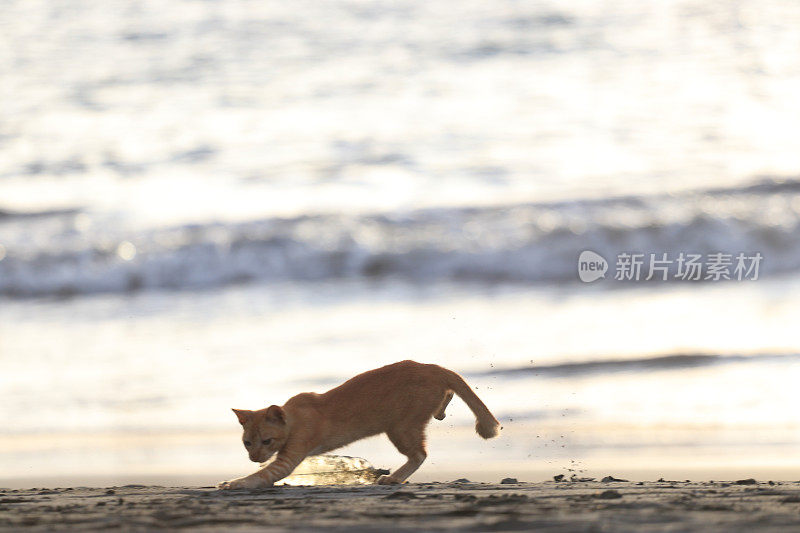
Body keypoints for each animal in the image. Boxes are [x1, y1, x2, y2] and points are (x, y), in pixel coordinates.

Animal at [216, 360, 496, 488]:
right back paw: (441, 411)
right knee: (446, 397)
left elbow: (264, 474)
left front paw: (235, 482)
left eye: (267, 441)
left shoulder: (289, 456)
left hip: (401, 427)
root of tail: (431, 367)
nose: (254, 457)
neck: (294, 415)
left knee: (420, 454)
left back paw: (394, 478)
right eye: (247, 443)